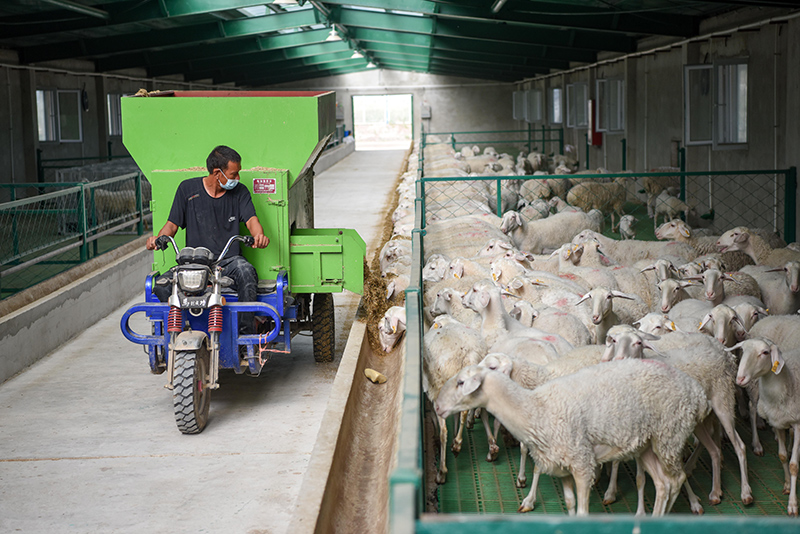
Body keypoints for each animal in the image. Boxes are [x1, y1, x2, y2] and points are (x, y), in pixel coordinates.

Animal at [438, 362, 708, 516]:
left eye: (461, 382)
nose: (438, 407)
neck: (537, 409)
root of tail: (699, 394)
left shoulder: (582, 464)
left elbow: (581, 512)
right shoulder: (563, 468)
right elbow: (568, 505)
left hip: (670, 435)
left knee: (677, 479)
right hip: (648, 445)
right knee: (663, 484)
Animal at [732, 340, 800, 520]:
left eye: (765, 352)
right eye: (742, 350)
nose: (740, 378)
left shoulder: (798, 424)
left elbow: (793, 465)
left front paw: (792, 504)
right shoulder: (777, 422)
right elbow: (782, 456)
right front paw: (787, 485)